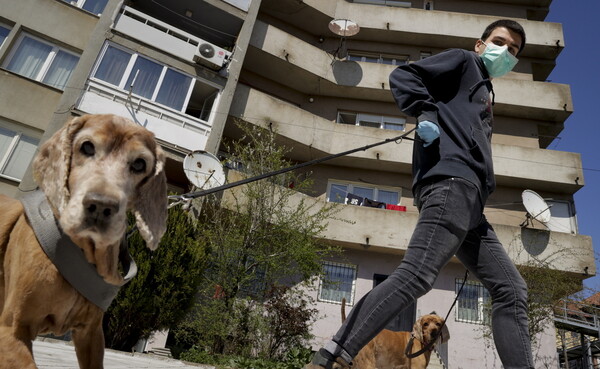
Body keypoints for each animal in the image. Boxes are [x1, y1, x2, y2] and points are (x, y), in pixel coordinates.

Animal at [0, 113, 166, 366]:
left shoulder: (92, 333)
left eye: (139, 163)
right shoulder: (11, 330)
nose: (100, 206)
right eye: (87, 146)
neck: (82, 251)